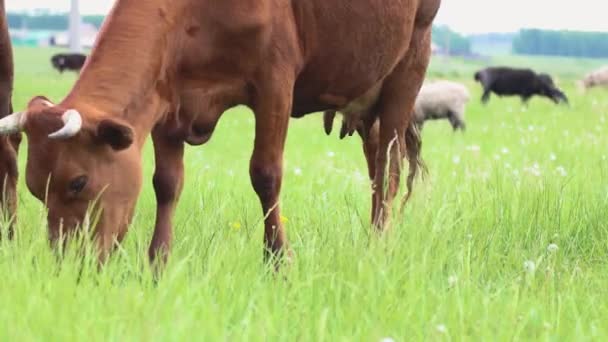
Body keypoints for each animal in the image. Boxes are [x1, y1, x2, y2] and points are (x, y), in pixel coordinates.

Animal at [0, 0, 440, 264]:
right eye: (36, 190)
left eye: (78, 182)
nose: (68, 265)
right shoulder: (169, 99)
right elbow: (167, 183)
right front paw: (157, 262)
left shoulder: (275, 81)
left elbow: (265, 174)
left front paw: (278, 261)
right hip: (366, 98)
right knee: (376, 167)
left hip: (409, 64)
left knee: (389, 168)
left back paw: (378, 244)